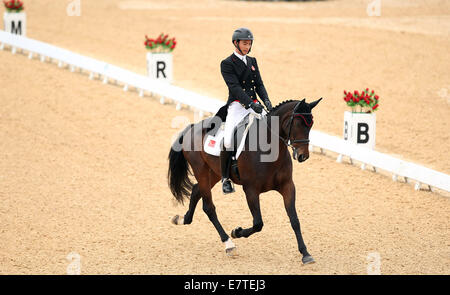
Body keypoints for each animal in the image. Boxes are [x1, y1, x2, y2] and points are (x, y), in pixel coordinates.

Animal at [167, 98, 322, 264]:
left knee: (196, 190)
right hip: (200, 170)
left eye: (311, 125)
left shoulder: (287, 186)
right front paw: (236, 231)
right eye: (298, 124)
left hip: (214, 173)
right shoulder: (251, 190)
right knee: (209, 207)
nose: (303, 156)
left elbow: (294, 220)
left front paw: (305, 253)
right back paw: (229, 244)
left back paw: (182, 219)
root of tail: (191, 128)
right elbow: (258, 223)